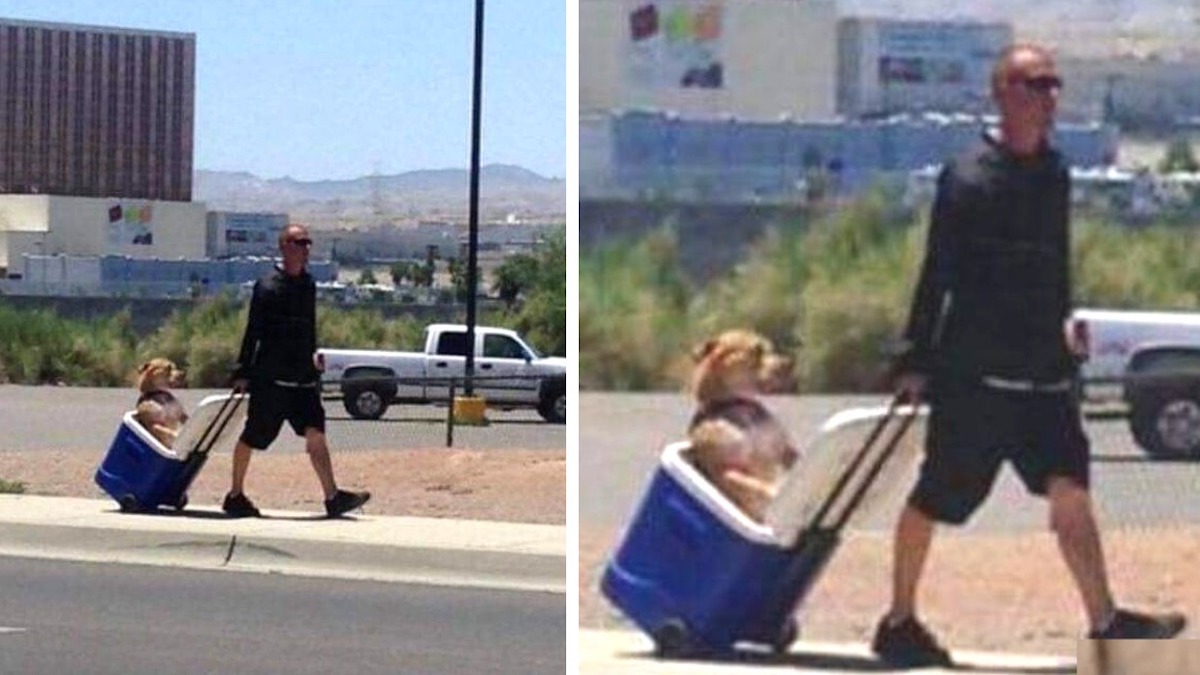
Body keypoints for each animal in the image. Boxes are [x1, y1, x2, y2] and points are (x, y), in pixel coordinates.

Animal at [686, 326, 796, 521]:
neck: (740, 405)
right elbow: (754, 484)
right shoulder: (727, 469)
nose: (790, 362)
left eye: (772, 348)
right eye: (757, 350)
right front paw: (774, 490)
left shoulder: (785, 450)